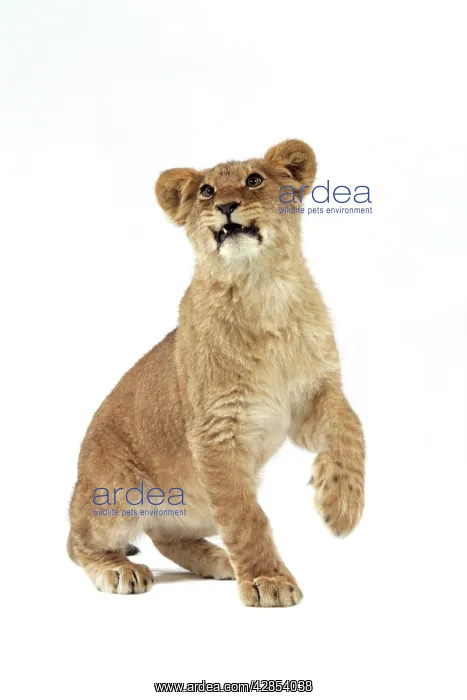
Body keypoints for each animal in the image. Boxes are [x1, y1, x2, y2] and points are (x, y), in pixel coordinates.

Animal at [67, 139, 365, 607]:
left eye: (254, 180)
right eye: (207, 191)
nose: (225, 205)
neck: (263, 292)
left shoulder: (313, 398)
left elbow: (351, 428)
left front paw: (340, 504)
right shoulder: (215, 431)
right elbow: (245, 515)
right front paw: (267, 580)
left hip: (197, 506)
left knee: (165, 534)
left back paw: (219, 559)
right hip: (115, 488)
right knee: (82, 541)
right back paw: (119, 569)